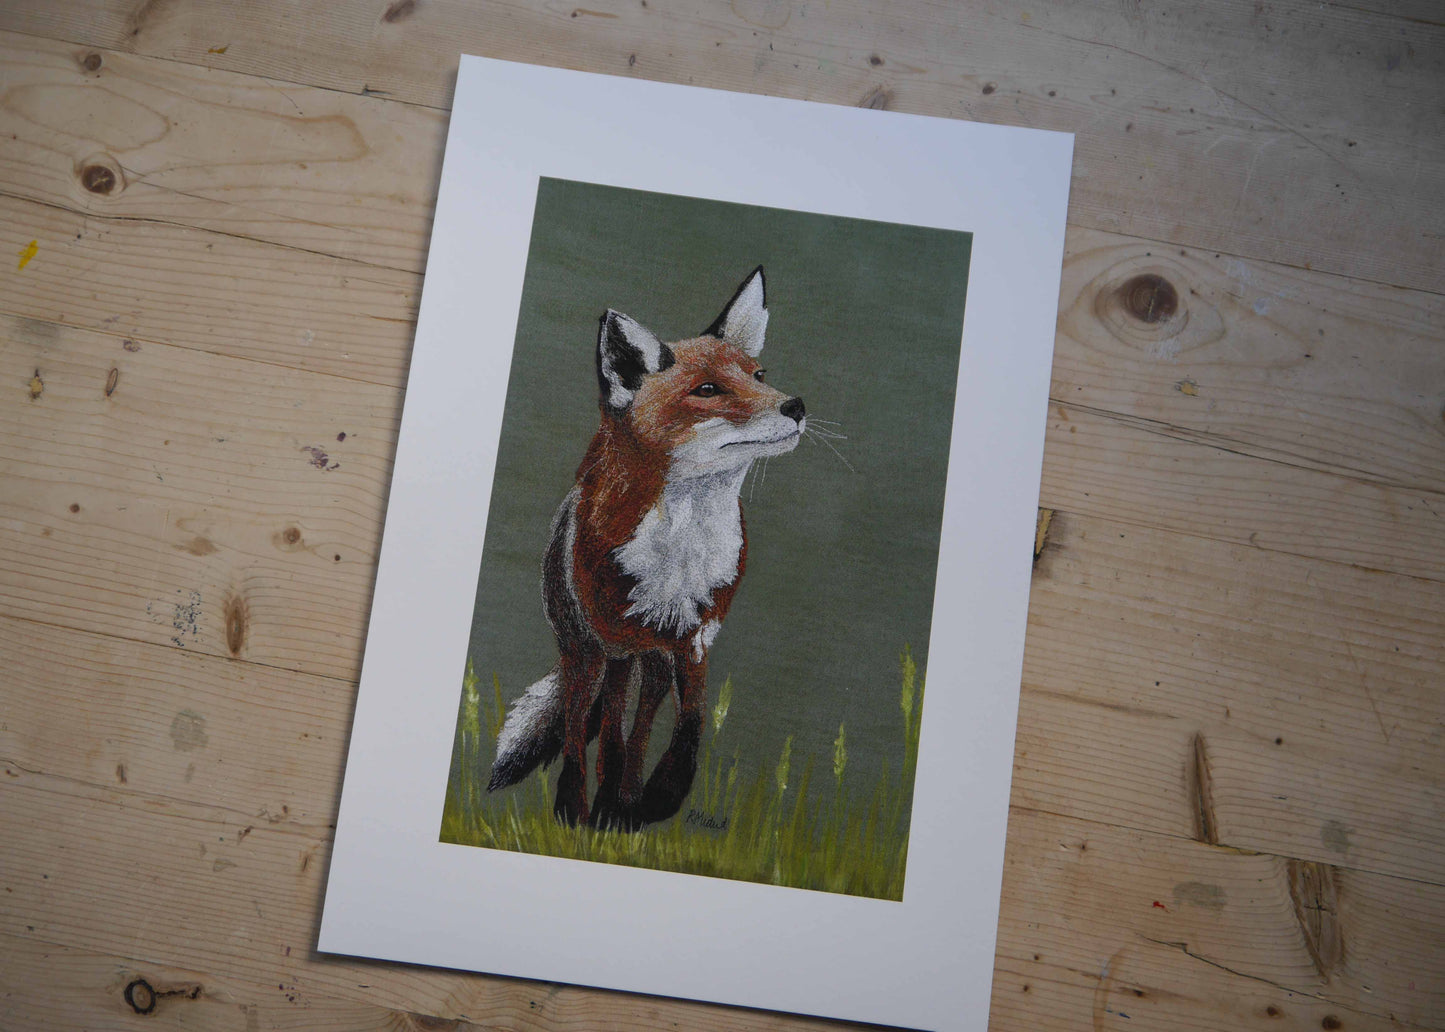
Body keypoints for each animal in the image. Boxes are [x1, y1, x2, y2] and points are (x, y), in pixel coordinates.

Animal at [486, 266, 806, 830]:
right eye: (707, 390)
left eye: (760, 376)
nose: (797, 406)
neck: (681, 552)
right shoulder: (616, 645)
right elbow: (604, 732)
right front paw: (599, 809)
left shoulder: (695, 638)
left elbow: (689, 719)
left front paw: (659, 794)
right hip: (586, 653)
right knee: (580, 725)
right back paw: (579, 808)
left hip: (652, 656)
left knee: (640, 718)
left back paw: (625, 801)